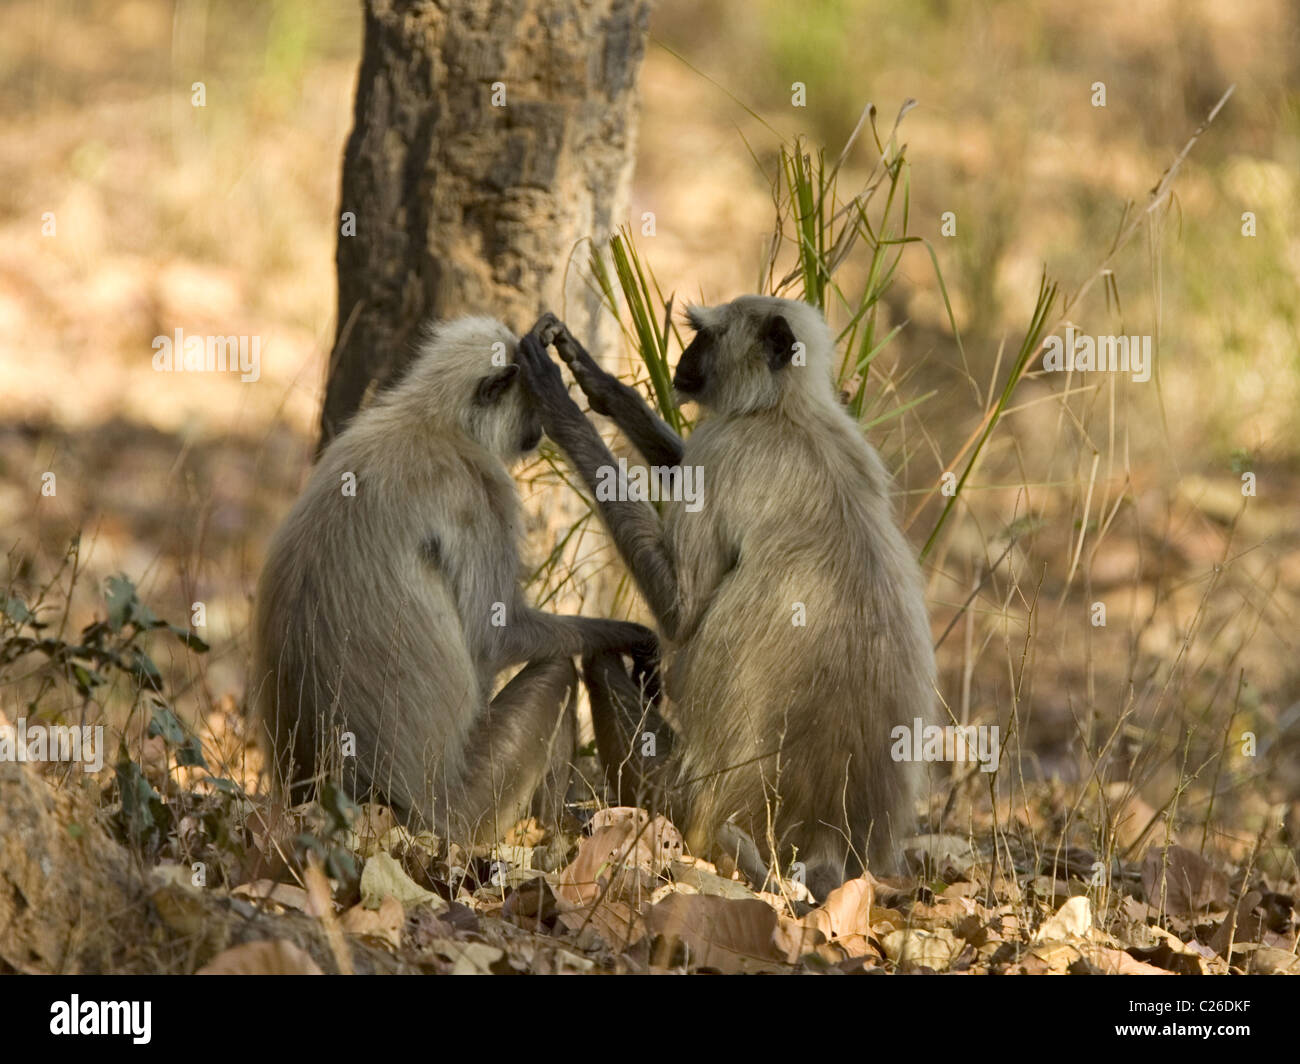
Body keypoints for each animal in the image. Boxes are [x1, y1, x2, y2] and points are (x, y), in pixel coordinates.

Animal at [252, 314, 655, 848]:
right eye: (532, 407)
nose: (536, 433)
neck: (431, 419)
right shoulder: (483, 492)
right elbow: (495, 638)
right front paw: (635, 636)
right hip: (466, 811)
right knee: (556, 672)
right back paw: (553, 835)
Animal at [517, 299, 935, 894]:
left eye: (707, 338)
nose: (683, 362)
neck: (784, 410)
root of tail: (828, 837)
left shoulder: (727, 448)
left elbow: (681, 611)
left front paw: (558, 400)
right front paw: (598, 382)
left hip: (677, 799)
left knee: (600, 663)